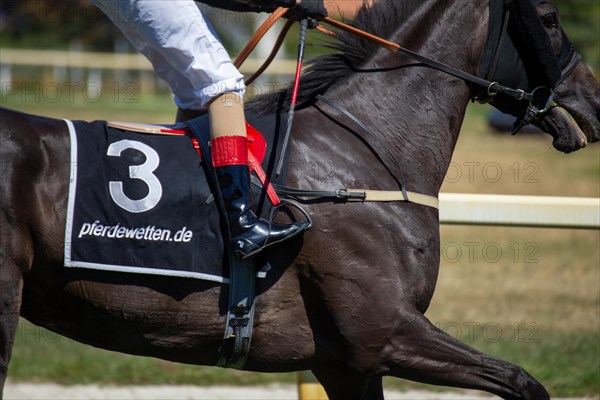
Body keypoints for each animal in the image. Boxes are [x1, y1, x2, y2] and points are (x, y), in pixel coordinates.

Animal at [1, 0, 600, 400]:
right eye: (549, 17)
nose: (594, 98)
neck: (364, 158)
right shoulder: (382, 334)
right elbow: (523, 382)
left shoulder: (346, 365)